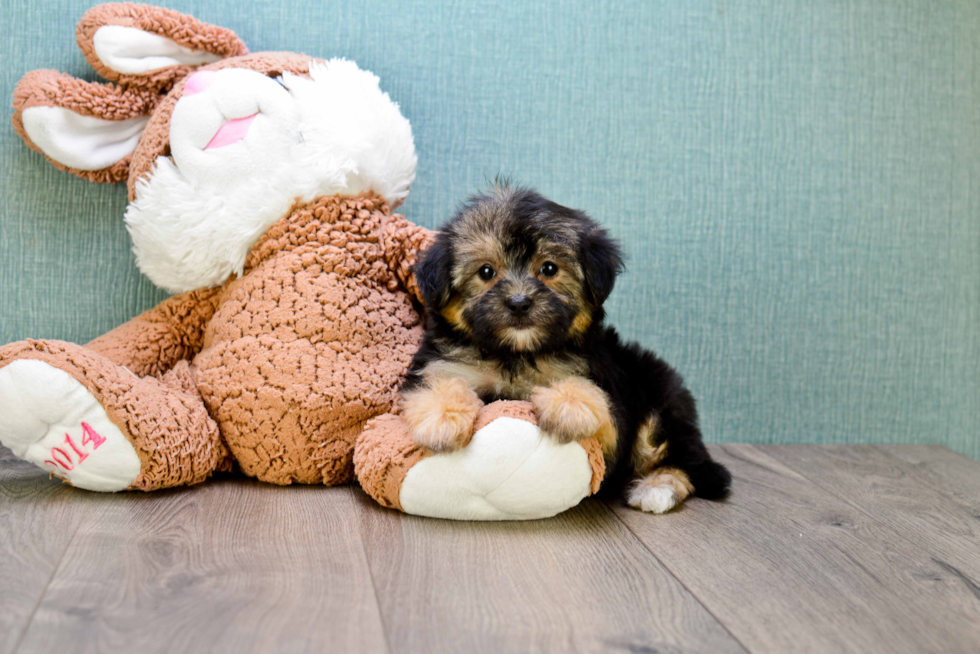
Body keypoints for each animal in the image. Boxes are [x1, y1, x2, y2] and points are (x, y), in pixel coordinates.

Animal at [398, 186, 728, 516]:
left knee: (684, 461)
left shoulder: (607, 404)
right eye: (486, 271)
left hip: (658, 398)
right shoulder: (443, 363)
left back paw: (658, 488)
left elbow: (598, 410)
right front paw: (443, 417)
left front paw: (569, 406)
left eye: (549, 268)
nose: (519, 302)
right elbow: (440, 383)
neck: (515, 353)